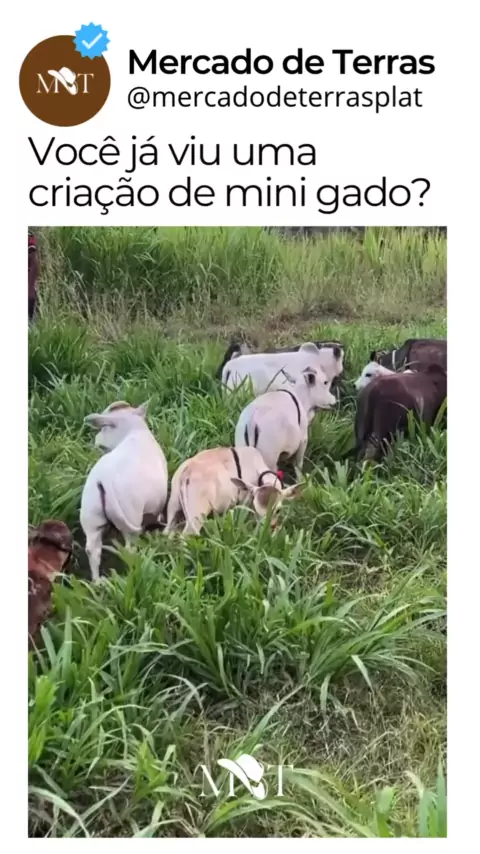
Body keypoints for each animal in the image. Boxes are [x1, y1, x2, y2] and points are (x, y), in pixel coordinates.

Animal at [80, 401, 169, 581]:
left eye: (104, 428)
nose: (96, 442)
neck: (134, 430)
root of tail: (104, 479)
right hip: (130, 516)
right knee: (129, 548)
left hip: (91, 516)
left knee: (92, 550)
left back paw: (98, 582)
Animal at [164, 446, 303, 536]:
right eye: (256, 509)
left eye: (278, 510)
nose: (266, 529)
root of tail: (187, 473)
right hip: (197, 513)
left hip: (173, 504)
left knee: (167, 531)